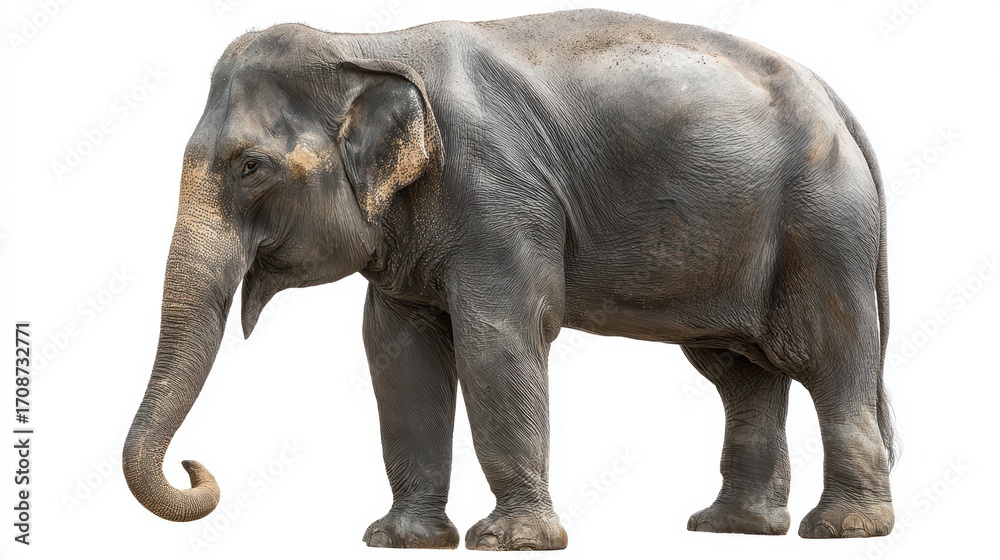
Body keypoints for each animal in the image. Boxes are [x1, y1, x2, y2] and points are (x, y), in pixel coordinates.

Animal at [123, 8, 895, 550]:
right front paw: (401, 541)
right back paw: (731, 527)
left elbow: (497, 339)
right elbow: (397, 354)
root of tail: (838, 103)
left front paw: (510, 542)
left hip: (824, 227)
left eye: (250, 167)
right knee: (740, 374)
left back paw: (844, 529)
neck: (373, 45)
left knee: (830, 357)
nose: (194, 467)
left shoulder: (500, 195)